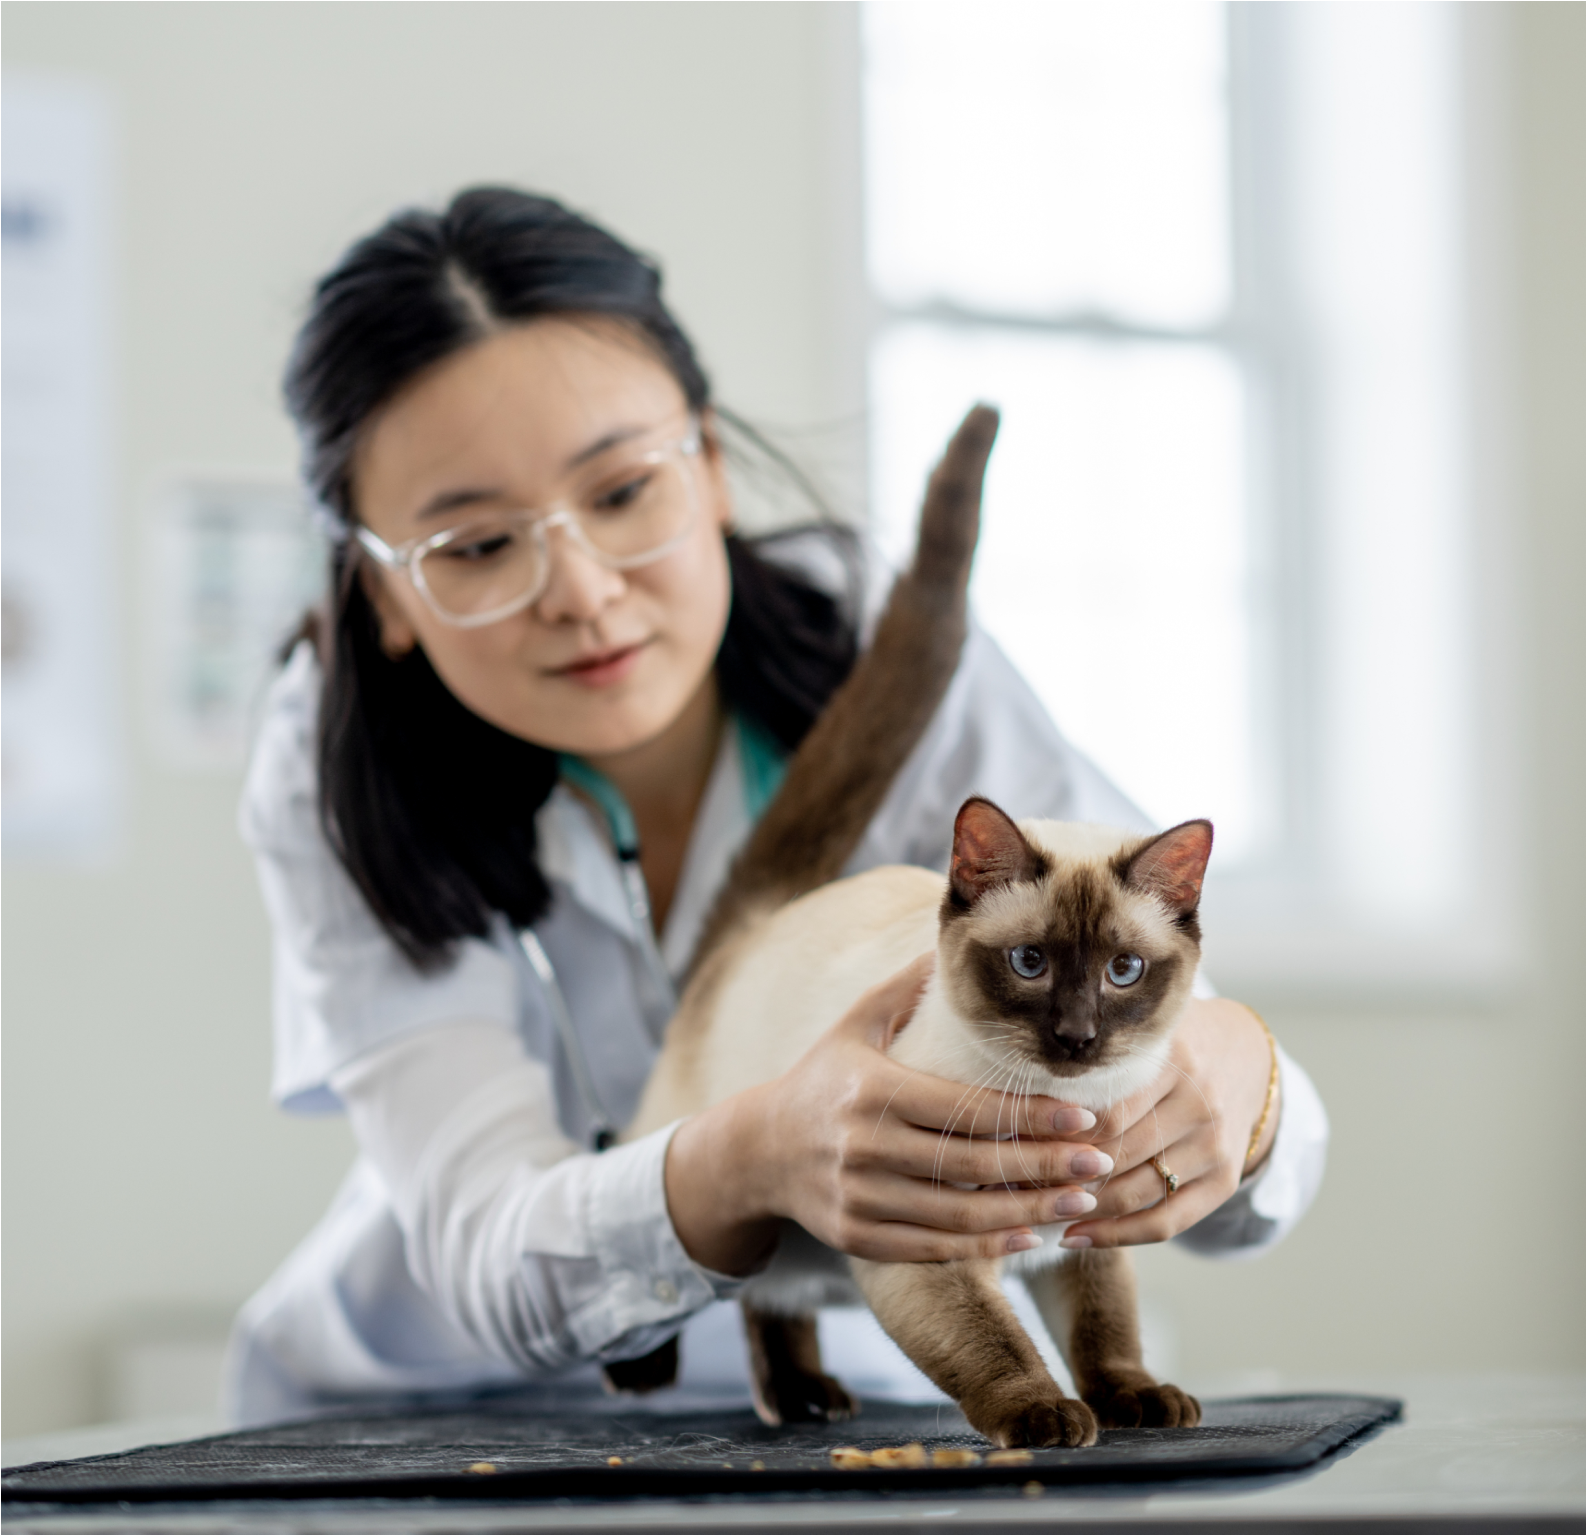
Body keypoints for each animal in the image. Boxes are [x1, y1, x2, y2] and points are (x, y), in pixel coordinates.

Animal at [605, 401, 1199, 1446]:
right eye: (1032, 962)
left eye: (1123, 972)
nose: (1078, 1037)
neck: (1068, 1109)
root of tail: (767, 918)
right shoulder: (927, 1252)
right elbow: (996, 1346)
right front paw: (1044, 1418)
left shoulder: (1088, 1234)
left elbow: (1106, 1329)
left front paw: (1134, 1401)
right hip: (738, 1179)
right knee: (680, 1227)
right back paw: (696, 1378)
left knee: (772, 1299)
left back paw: (803, 1396)